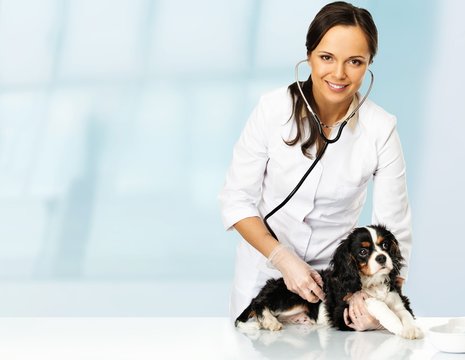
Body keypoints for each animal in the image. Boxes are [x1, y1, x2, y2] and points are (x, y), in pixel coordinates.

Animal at [234, 226, 422, 338]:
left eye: (385, 245)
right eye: (363, 251)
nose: (382, 258)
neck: (373, 282)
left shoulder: (399, 300)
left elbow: (404, 313)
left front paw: (411, 328)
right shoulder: (344, 307)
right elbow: (376, 303)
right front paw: (396, 325)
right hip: (291, 296)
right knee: (257, 302)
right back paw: (270, 321)